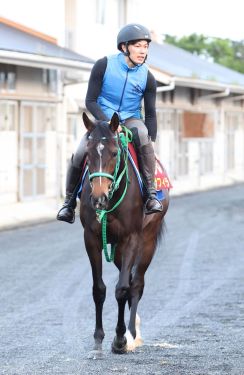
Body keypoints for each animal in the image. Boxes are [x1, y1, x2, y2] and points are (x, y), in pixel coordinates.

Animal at [79, 112, 169, 356]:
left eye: (114, 152)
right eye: (88, 153)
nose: (98, 197)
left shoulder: (131, 238)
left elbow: (122, 289)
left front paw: (120, 338)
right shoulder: (91, 239)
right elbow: (99, 289)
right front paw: (98, 338)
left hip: (147, 240)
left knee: (136, 283)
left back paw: (131, 333)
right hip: (118, 249)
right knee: (127, 277)